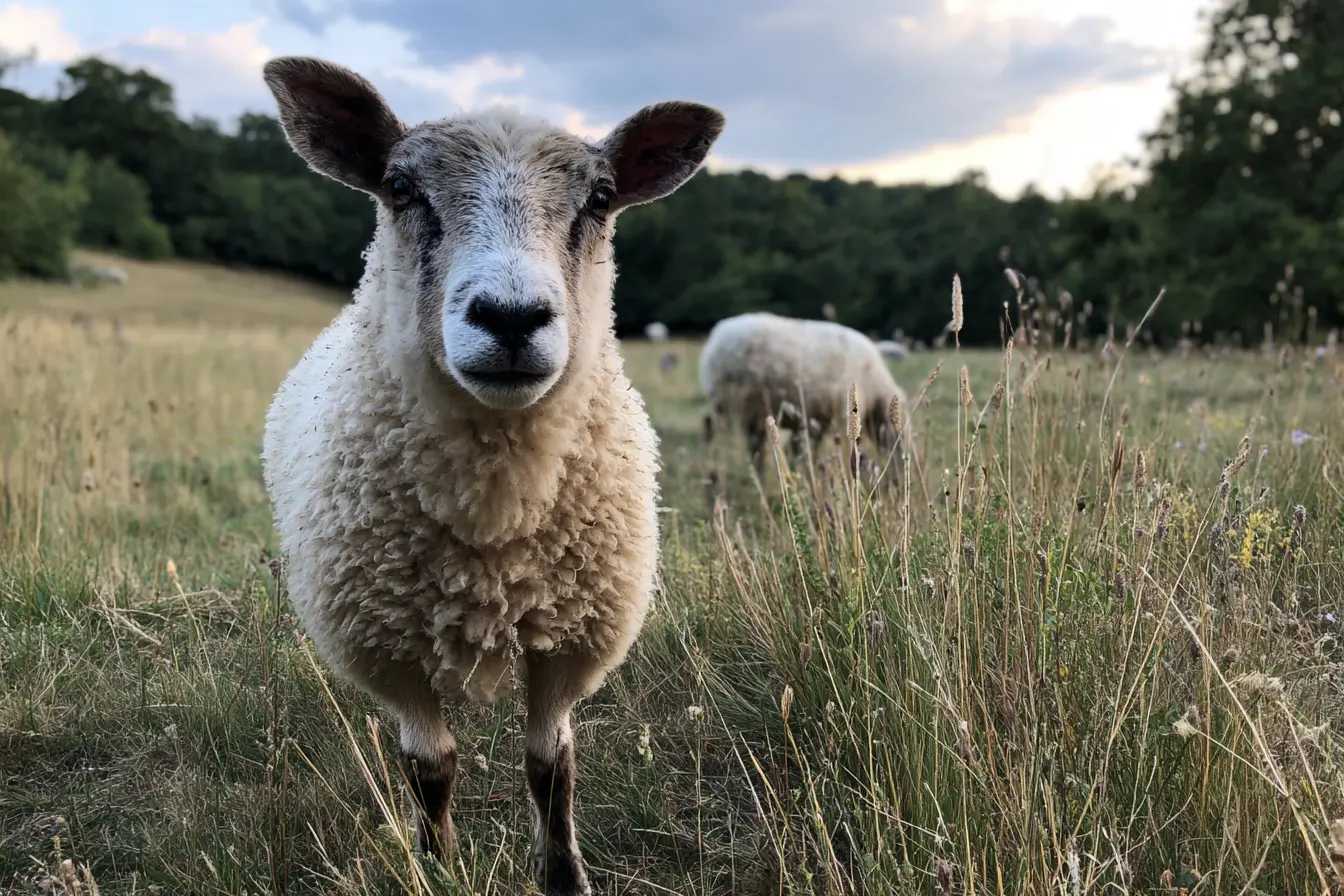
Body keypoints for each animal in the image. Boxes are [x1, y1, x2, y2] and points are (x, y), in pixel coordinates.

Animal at [257, 56, 724, 895]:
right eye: (400, 187)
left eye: (600, 198)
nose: (510, 318)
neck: (495, 511)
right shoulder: (392, 652)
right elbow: (430, 768)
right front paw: (439, 866)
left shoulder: (568, 645)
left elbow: (552, 768)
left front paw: (565, 875)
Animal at [698, 311, 906, 477]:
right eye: (899, 439)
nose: (899, 478)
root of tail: (717, 334)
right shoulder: (843, 411)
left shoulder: (818, 420)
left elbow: (810, 451)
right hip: (736, 400)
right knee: (719, 433)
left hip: (734, 405)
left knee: (724, 431)